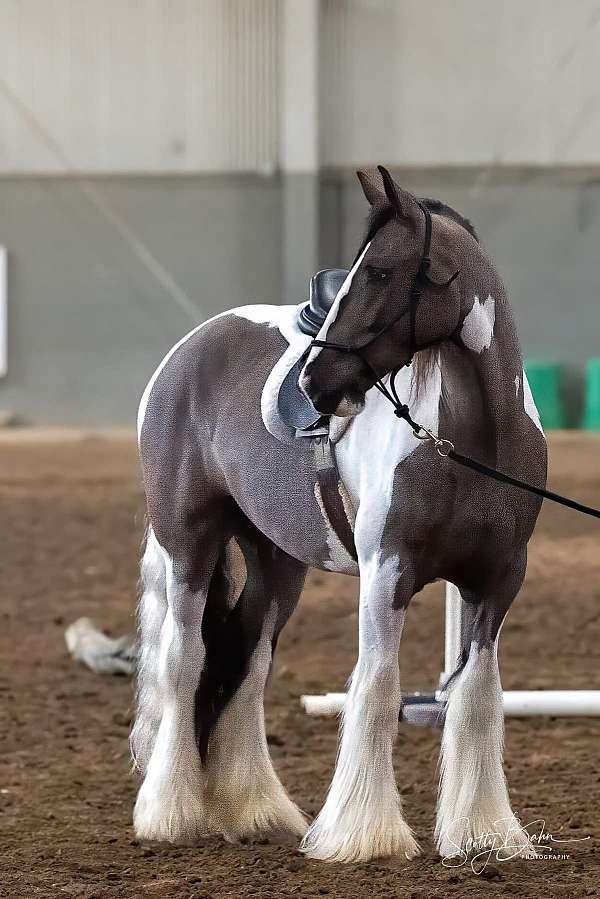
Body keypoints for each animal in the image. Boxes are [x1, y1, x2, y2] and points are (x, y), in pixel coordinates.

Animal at [130, 165, 547, 864]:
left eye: (378, 270)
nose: (312, 383)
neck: (473, 442)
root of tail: (189, 349)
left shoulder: (496, 583)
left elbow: (476, 696)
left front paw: (482, 832)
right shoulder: (388, 572)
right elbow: (376, 690)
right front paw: (363, 833)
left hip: (278, 563)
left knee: (247, 662)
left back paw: (253, 810)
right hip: (189, 540)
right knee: (183, 658)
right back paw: (172, 813)